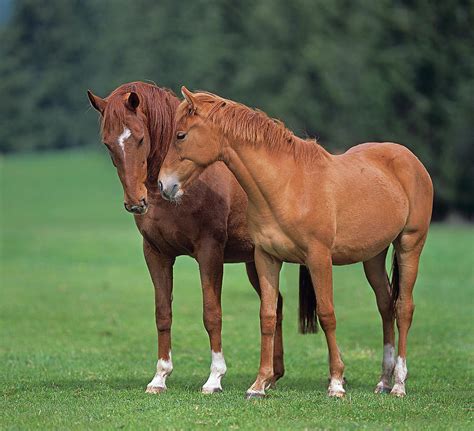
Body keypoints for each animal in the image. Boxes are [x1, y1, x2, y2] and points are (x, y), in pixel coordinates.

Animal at [85, 82, 292, 394]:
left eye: (141, 138)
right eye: (108, 143)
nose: (135, 202)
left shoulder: (209, 252)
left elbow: (211, 313)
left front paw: (215, 378)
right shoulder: (156, 254)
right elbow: (163, 313)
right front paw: (159, 377)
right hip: (256, 263)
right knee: (275, 305)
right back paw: (270, 377)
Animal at [158, 86, 434, 400]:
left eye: (181, 135)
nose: (164, 185)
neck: (287, 186)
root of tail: (409, 159)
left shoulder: (318, 258)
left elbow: (327, 315)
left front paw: (336, 383)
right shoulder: (266, 258)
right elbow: (267, 316)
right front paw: (258, 385)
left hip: (409, 245)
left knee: (404, 308)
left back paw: (399, 383)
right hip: (373, 256)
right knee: (386, 305)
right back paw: (384, 381)